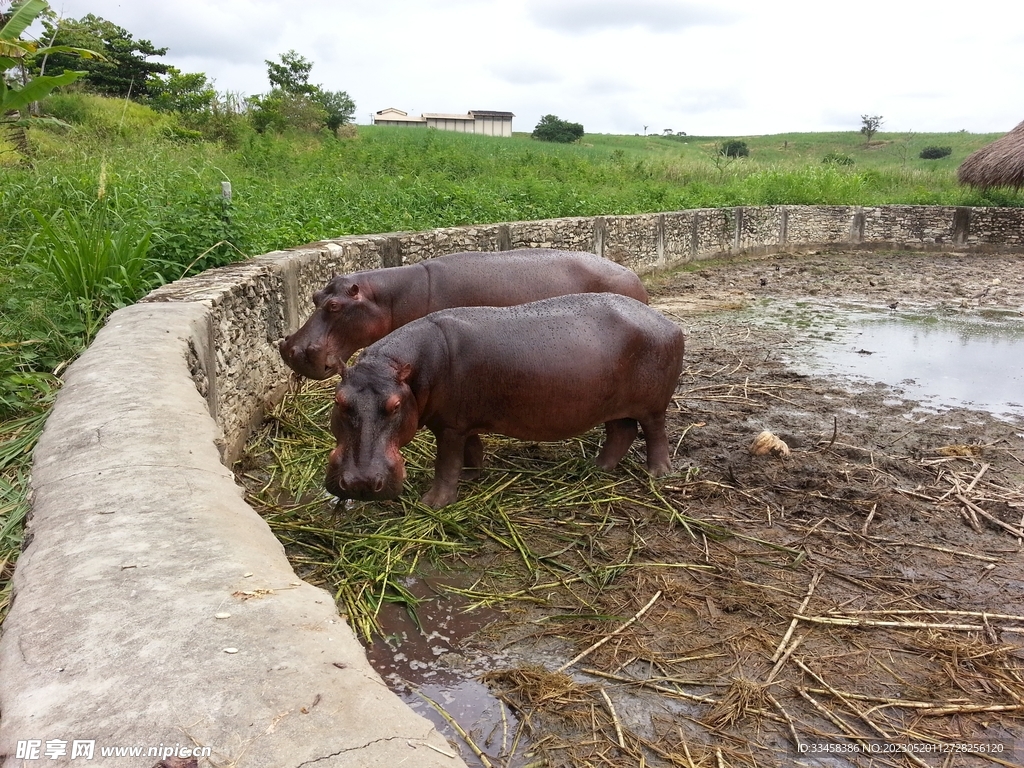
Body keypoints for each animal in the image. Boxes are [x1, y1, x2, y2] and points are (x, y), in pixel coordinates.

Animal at [323, 294, 684, 512]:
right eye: (339, 401)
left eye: (396, 406)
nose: (360, 483)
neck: (400, 368)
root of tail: (667, 321)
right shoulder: (462, 422)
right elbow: (471, 451)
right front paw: (472, 478)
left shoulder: (450, 426)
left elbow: (446, 464)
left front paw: (433, 503)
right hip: (613, 405)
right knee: (621, 433)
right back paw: (597, 468)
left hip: (653, 406)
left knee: (655, 434)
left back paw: (658, 474)